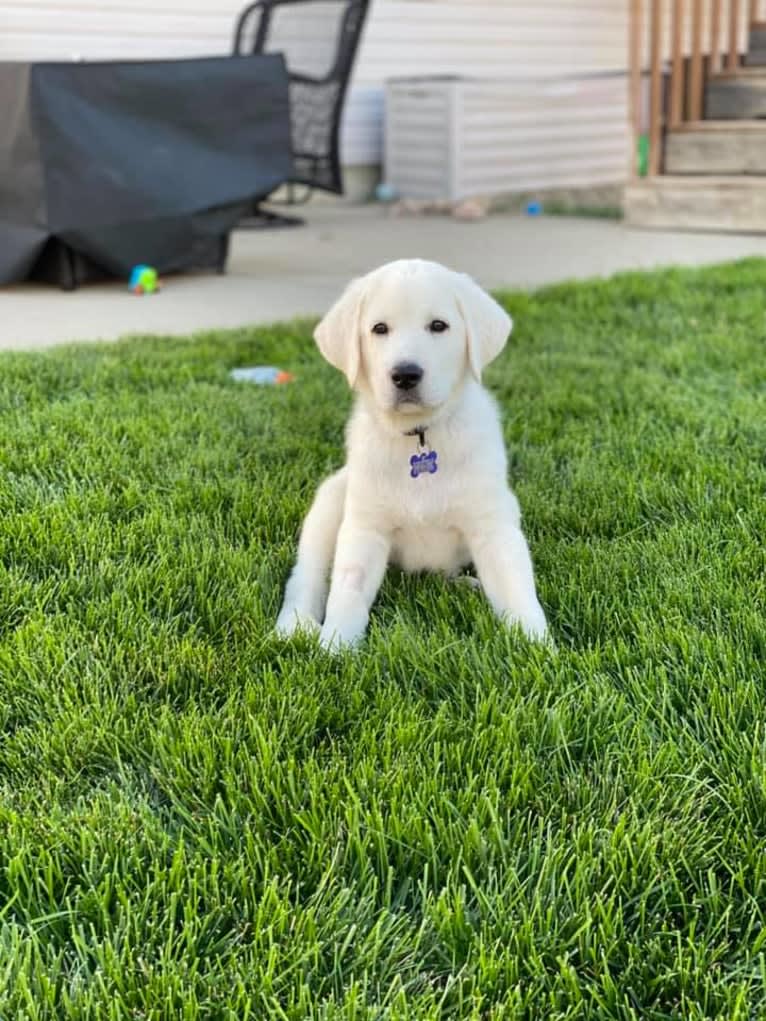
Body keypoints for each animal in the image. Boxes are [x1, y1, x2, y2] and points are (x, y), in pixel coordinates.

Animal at [279, 259, 547, 649]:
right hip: (330, 502)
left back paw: (466, 584)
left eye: (438, 326)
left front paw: (538, 646)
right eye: (379, 329)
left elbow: (517, 591)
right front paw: (335, 648)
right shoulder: (365, 529)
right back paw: (293, 624)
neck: (420, 436)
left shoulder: (493, 526)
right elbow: (347, 593)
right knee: (306, 576)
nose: (405, 374)